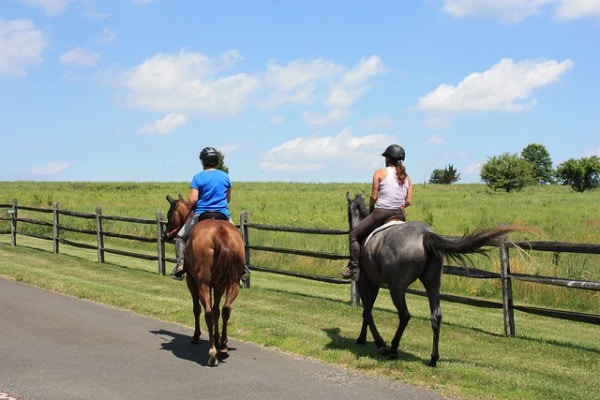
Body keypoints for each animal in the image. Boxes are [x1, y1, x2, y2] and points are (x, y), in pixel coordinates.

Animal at [165, 194, 245, 366]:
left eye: (170, 216)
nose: (165, 235)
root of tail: (220, 232)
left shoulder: (192, 281)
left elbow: (197, 309)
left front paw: (196, 336)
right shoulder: (219, 285)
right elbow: (216, 311)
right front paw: (217, 338)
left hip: (203, 284)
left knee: (207, 312)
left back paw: (213, 353)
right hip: (233, 282)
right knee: (226, 309)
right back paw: (222, 348)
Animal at [346, 192, 520, 368]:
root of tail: (425, 235)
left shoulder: (364, 281)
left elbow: (367, 312)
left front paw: (377, 343)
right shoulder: (374, 283)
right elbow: (367, 311)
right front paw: (362, 338)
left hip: (397, 287)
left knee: (405, 315)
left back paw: (393, 349)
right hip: (432, 283)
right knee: (436, 316)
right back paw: (433, 358)